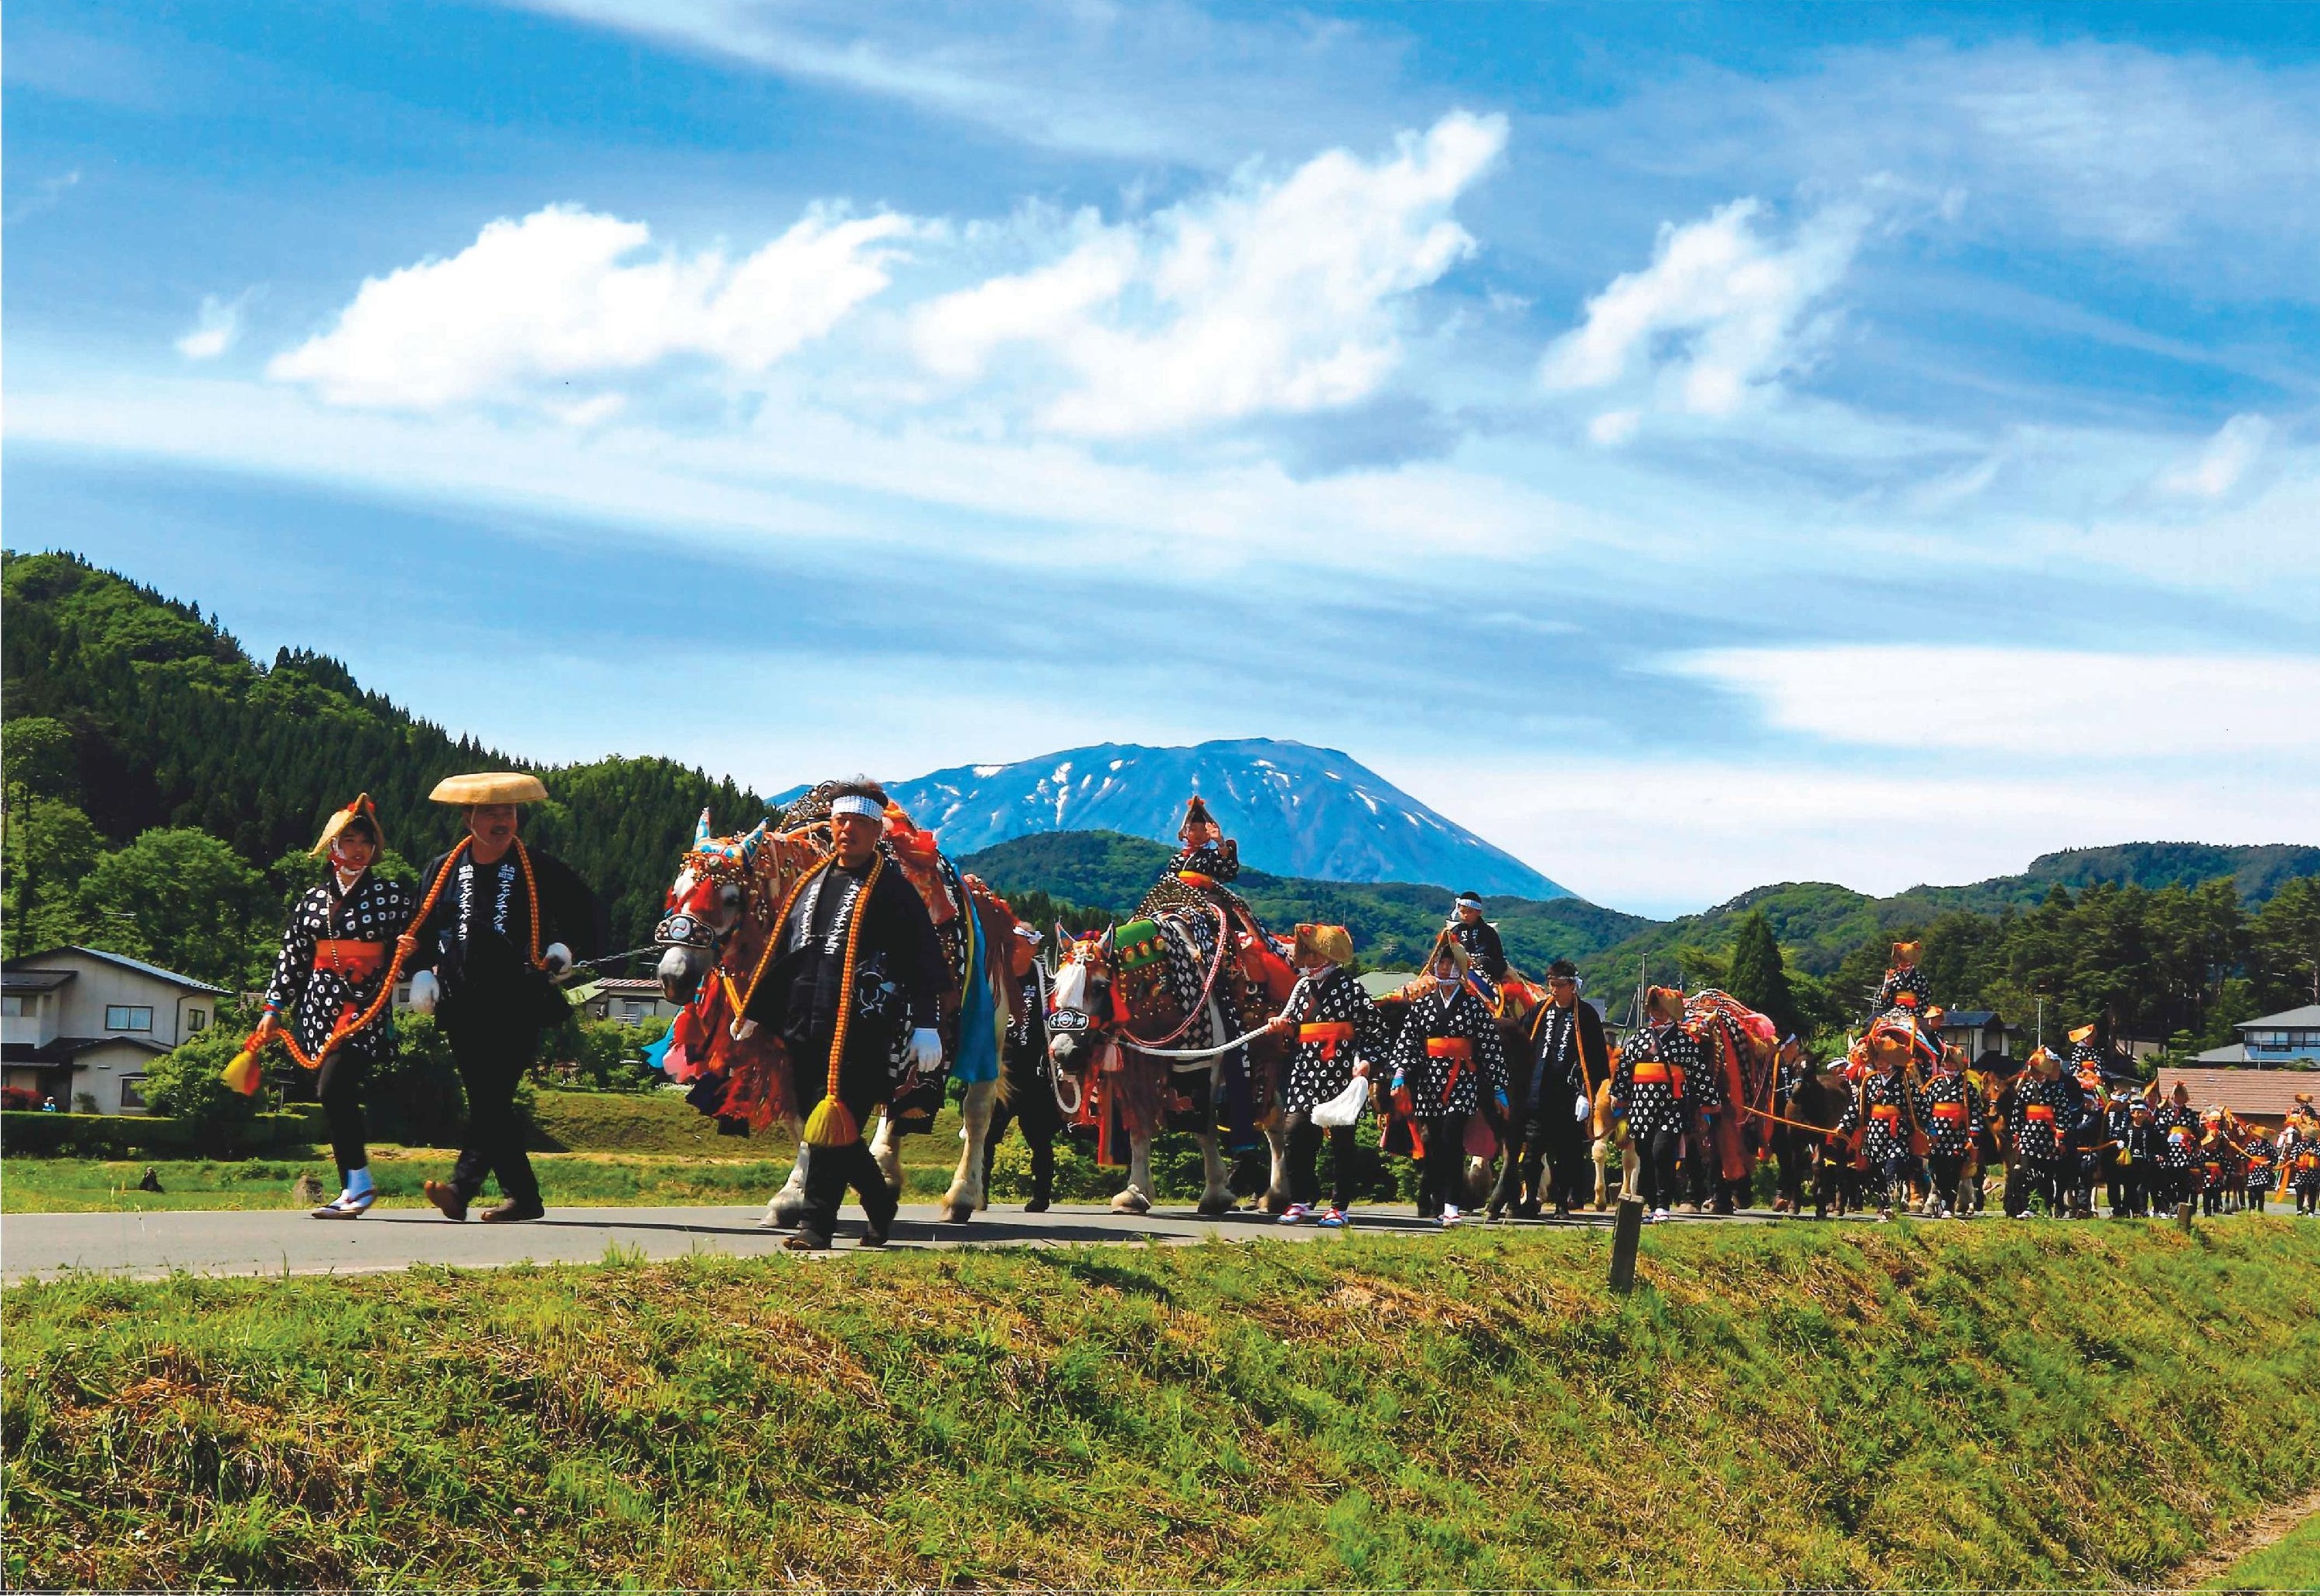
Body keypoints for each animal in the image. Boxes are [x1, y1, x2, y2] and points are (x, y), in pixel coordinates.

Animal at [650, 798, 1021, 1225]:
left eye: (730, 898)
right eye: (677, 891)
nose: (674, 976)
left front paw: (802, 1193)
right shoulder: (783, 1045)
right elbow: (800, 1117)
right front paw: (799, 1193)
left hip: (987, 1028)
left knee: (977, 1111)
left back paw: (962, 1195)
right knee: (896, 1105)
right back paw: (886, 1172)